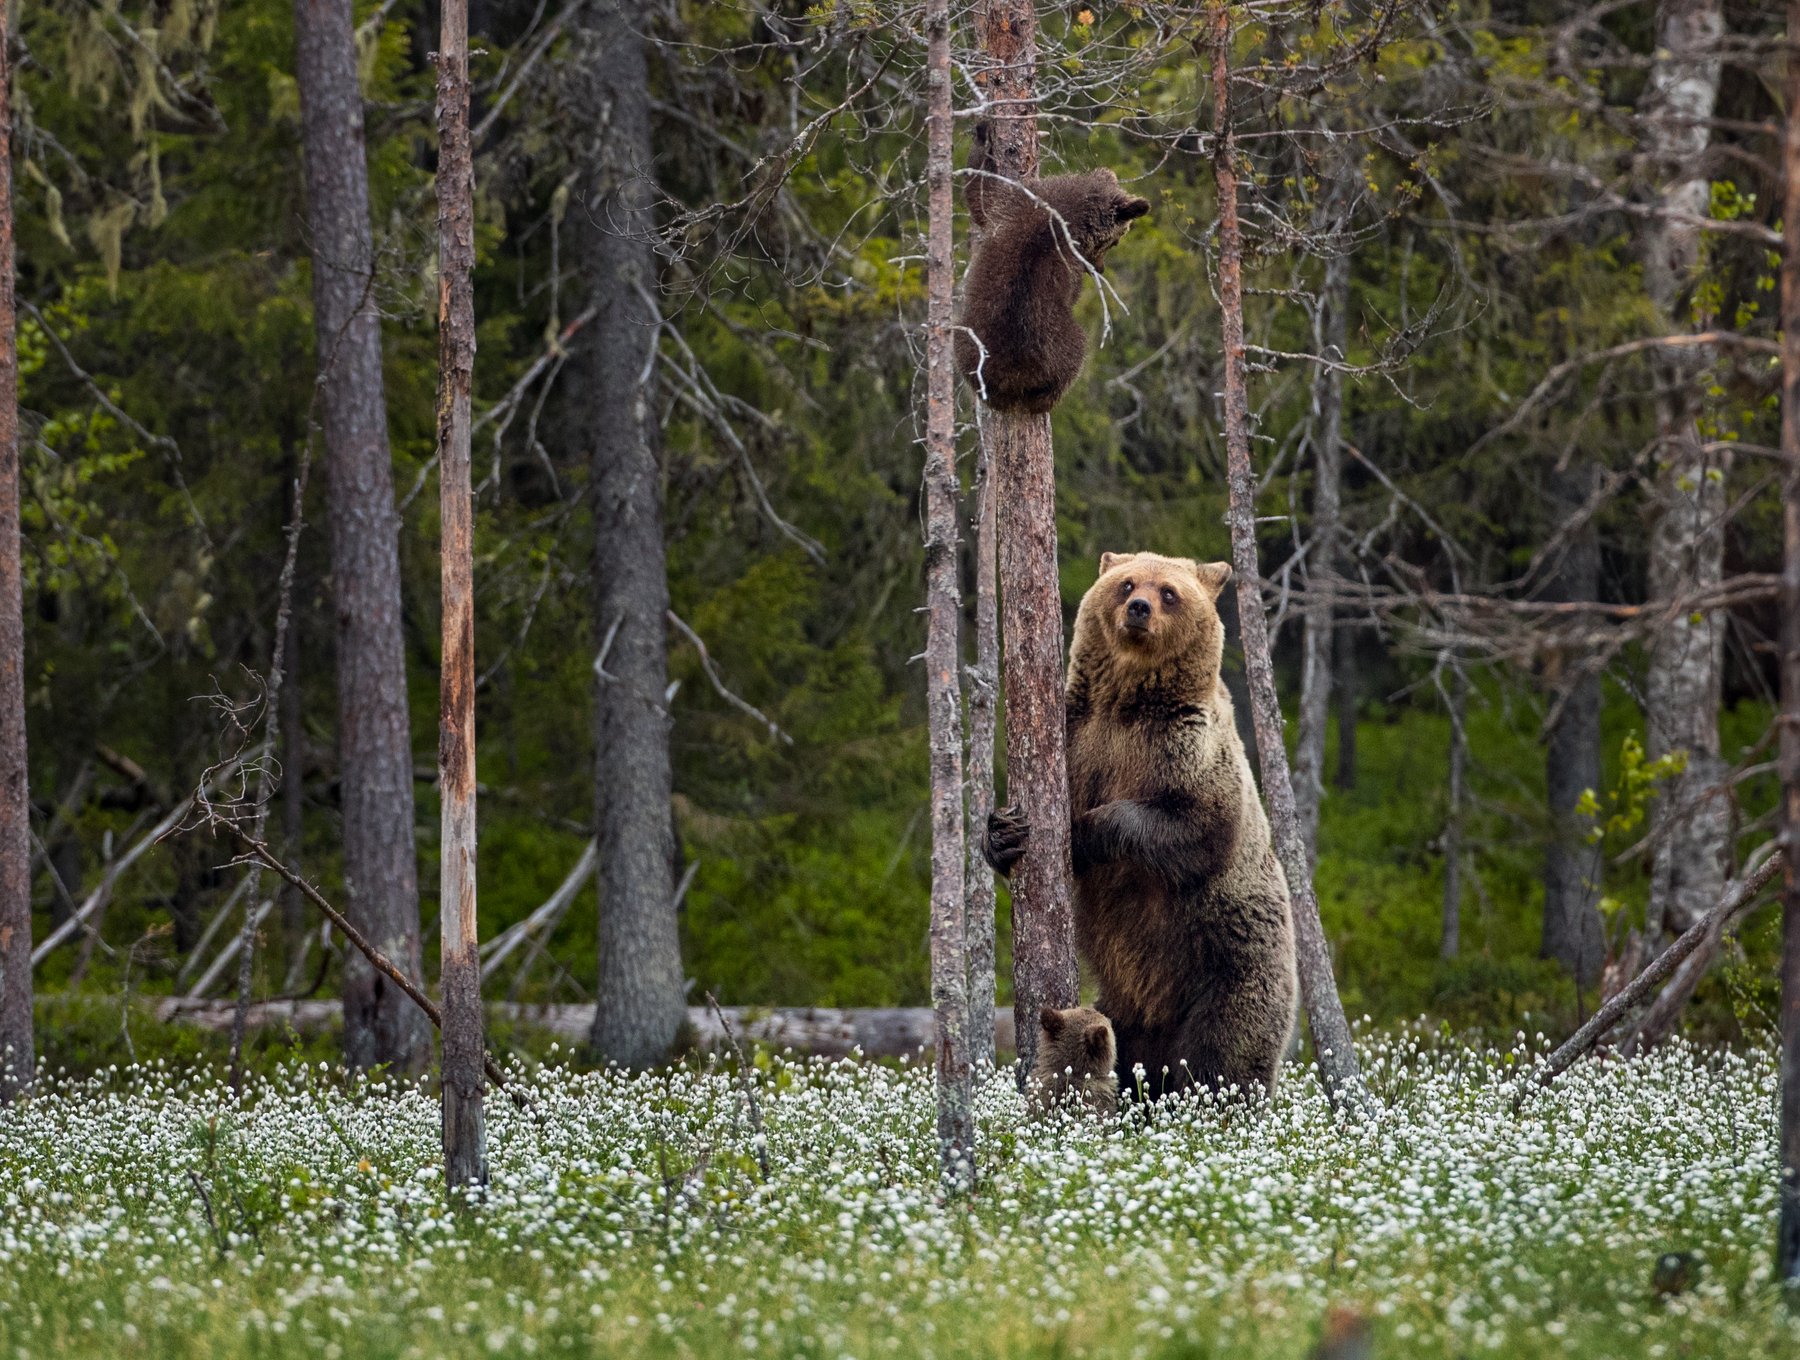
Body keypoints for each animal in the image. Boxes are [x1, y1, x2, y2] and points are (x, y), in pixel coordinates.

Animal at [957, 126, 1152, 413]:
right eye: (1114, 242)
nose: (1100, 269)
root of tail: (1015, 371)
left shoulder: (1014, 204)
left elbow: (980, 195)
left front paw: (982, 134)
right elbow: (981, 196)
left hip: (970, 346)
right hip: (1061, 342)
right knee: (1073, 360)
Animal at [986, 550, 1296, 1093]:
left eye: (1168, 592)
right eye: (1127, 582)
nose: (1138, 609)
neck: (1126, 703)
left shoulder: (1186, 750)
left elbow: (1193, 828)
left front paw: (1082, 834)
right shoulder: (1079, 737)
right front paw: (1003, 833)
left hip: (1232, 966)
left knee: (1222, 1054)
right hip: (1124, 1007)